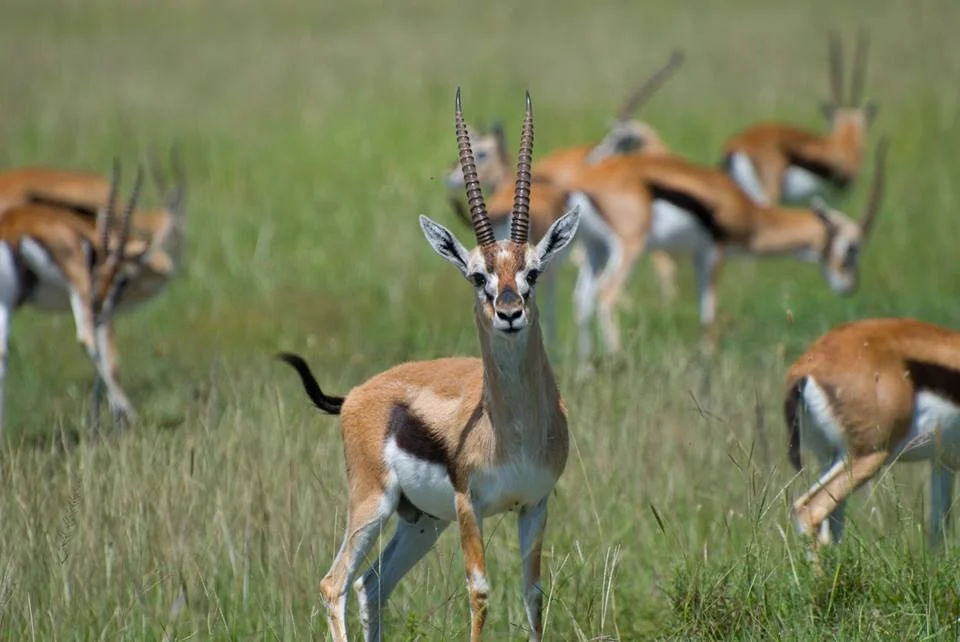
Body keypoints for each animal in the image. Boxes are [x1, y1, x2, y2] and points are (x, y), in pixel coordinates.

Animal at [0, 161, 157, 434]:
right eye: (122, 278)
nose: (99, 301)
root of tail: (15, 233)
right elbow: (110, 358)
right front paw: (120, 417)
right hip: (77, 292)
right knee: (86, 339)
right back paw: (124, 413)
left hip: (6, 302)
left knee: (2, 355)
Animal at [277, 89, 579, 642]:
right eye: (477, 276)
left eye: (532, 271)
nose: (509, 313)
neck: (513, 432)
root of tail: (355, 395)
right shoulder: (468, 506)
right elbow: (480, 593)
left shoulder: (535, 504)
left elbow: (533, 595)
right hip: (373, 505)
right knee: (334, 584)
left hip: (420, 521)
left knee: (371, 584)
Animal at [564, 136, 887, 362]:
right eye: (852, 247)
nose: (848, 286)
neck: (746, 210)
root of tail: (583, 183)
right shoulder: (714, 253)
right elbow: (709, 313)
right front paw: (708, 364)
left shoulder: (698, 255)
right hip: (630, 247)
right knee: (607, 293)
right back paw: (618, 359)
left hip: (596, 248)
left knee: (582, 297)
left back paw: (585, 367)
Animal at [785, 317, 960, 562]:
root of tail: (807, 368)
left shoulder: (943, 461)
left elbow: (938, 528)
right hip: (868, 456)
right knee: (808, 509)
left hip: (831, 457)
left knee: (831, 527)